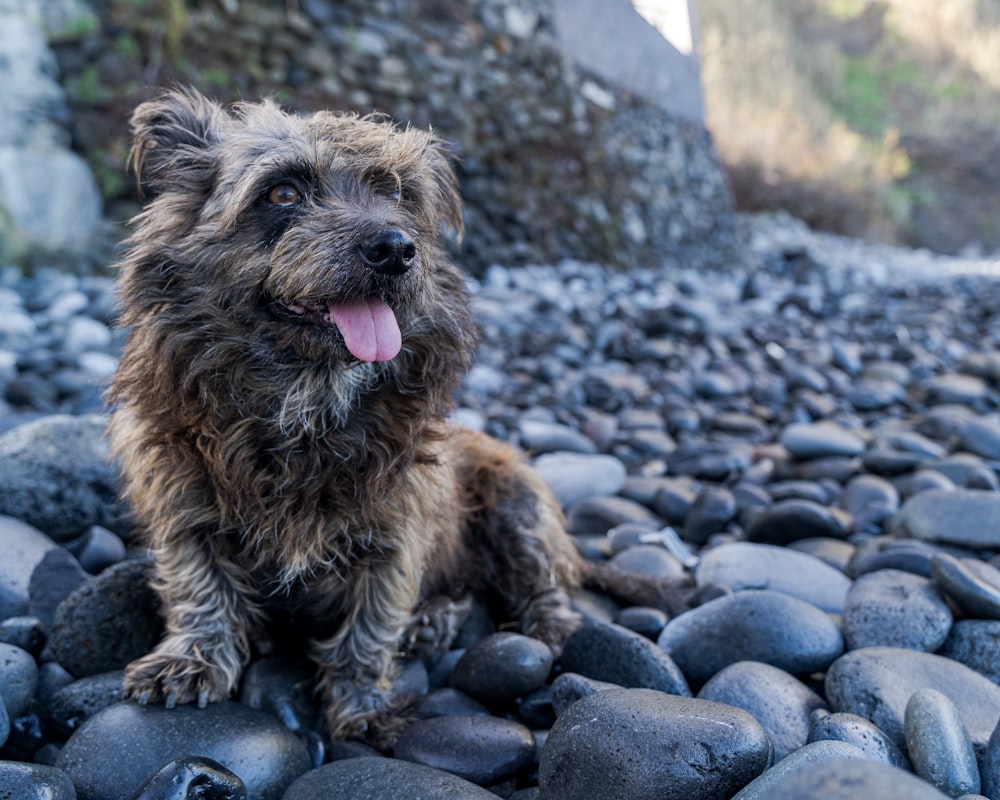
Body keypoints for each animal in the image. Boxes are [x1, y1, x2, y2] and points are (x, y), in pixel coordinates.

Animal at [110, 89, 588, 744]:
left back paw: (521, 630)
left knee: (544, 587)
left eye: (398, 193)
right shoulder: (185, 505)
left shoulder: (396, 531)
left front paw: (363, 708)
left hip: (519, 506)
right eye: (282, 193)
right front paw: (191, 661)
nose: (396, 249)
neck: (306, 398)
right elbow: (200, 587)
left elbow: (369, 628)